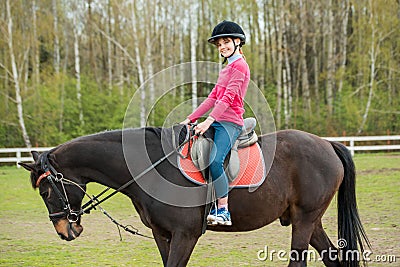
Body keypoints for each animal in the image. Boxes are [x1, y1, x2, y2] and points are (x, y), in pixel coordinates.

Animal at [19, 126, 368, 266]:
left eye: (47, 191)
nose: (65, 230)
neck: (151, 167)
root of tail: (327, 144)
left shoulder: (185, 235)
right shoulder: (162, 235)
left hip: (304, 220)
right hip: (310, 221)